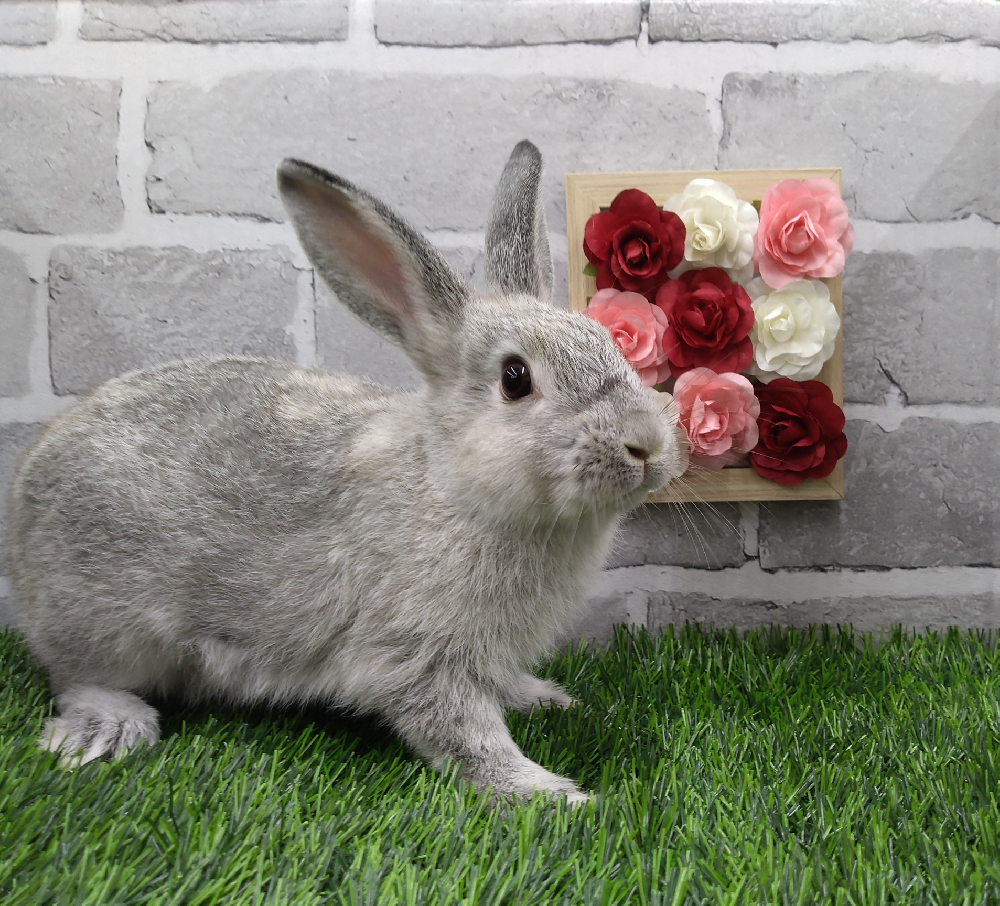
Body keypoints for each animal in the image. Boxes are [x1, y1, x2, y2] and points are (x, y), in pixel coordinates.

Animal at [7, 140, 688, 804]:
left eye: (609, 340)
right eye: (515, 379)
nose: (647, 442)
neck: (452, 486)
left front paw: (547, 700)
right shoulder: (412, 653)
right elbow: (464, 733)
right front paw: (552, 796)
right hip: (106, 625)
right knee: (76, 678)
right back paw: (109, 729)